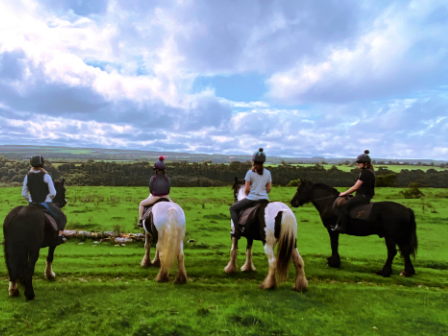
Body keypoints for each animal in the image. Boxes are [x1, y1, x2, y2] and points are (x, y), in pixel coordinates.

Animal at [288, 180, 418, 276]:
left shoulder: (332, 229)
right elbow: (335, 244)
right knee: (405, 250)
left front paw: (333, 262)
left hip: (390, 237)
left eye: (300, 190)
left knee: (392, 252)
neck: (329, 203)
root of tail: (406, 210)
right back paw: (407, 272)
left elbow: (333, 244)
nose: (292, 202)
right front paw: (334, 261)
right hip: (399, 236)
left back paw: (384, 272)